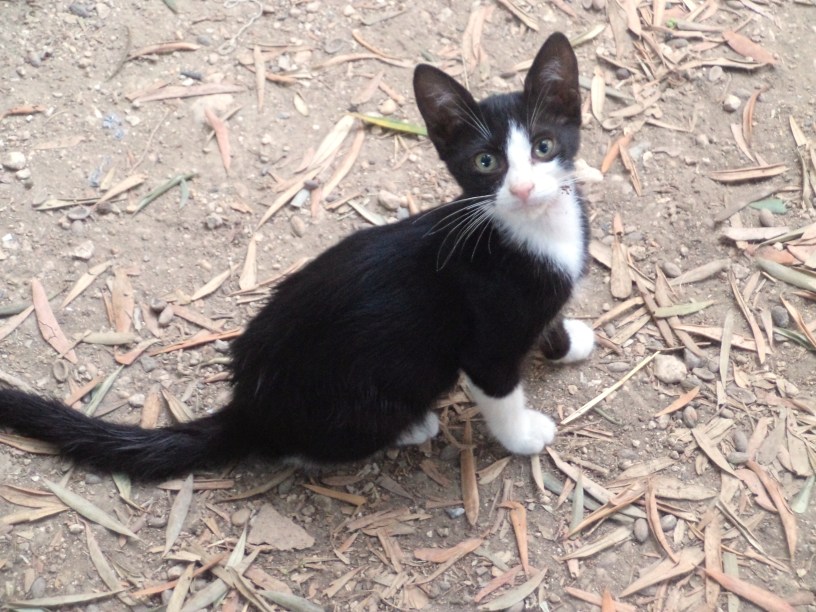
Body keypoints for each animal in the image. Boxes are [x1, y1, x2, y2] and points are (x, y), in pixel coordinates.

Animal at [0, 32, 594, 480]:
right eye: (486, 162)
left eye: (544, 146)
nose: (522, 188)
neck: (534, 233)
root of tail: (250, 406)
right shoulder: (485, 341)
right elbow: (501, 392)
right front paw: (525, 435)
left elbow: (550, 323)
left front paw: (569, 341)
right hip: (362, 400)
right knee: (293, 448)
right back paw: (411, 426)